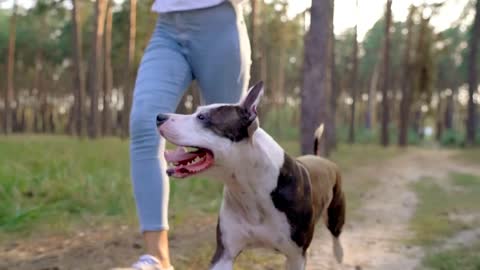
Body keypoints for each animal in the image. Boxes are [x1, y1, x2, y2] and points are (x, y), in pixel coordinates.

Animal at [157, 82, 344, 270]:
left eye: (202, 117)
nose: (159, 116)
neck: (250, 188)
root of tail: (319, 157)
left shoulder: (296, 257)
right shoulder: (224, 253)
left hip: (336, 211)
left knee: (336, 233)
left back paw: (339, 254)